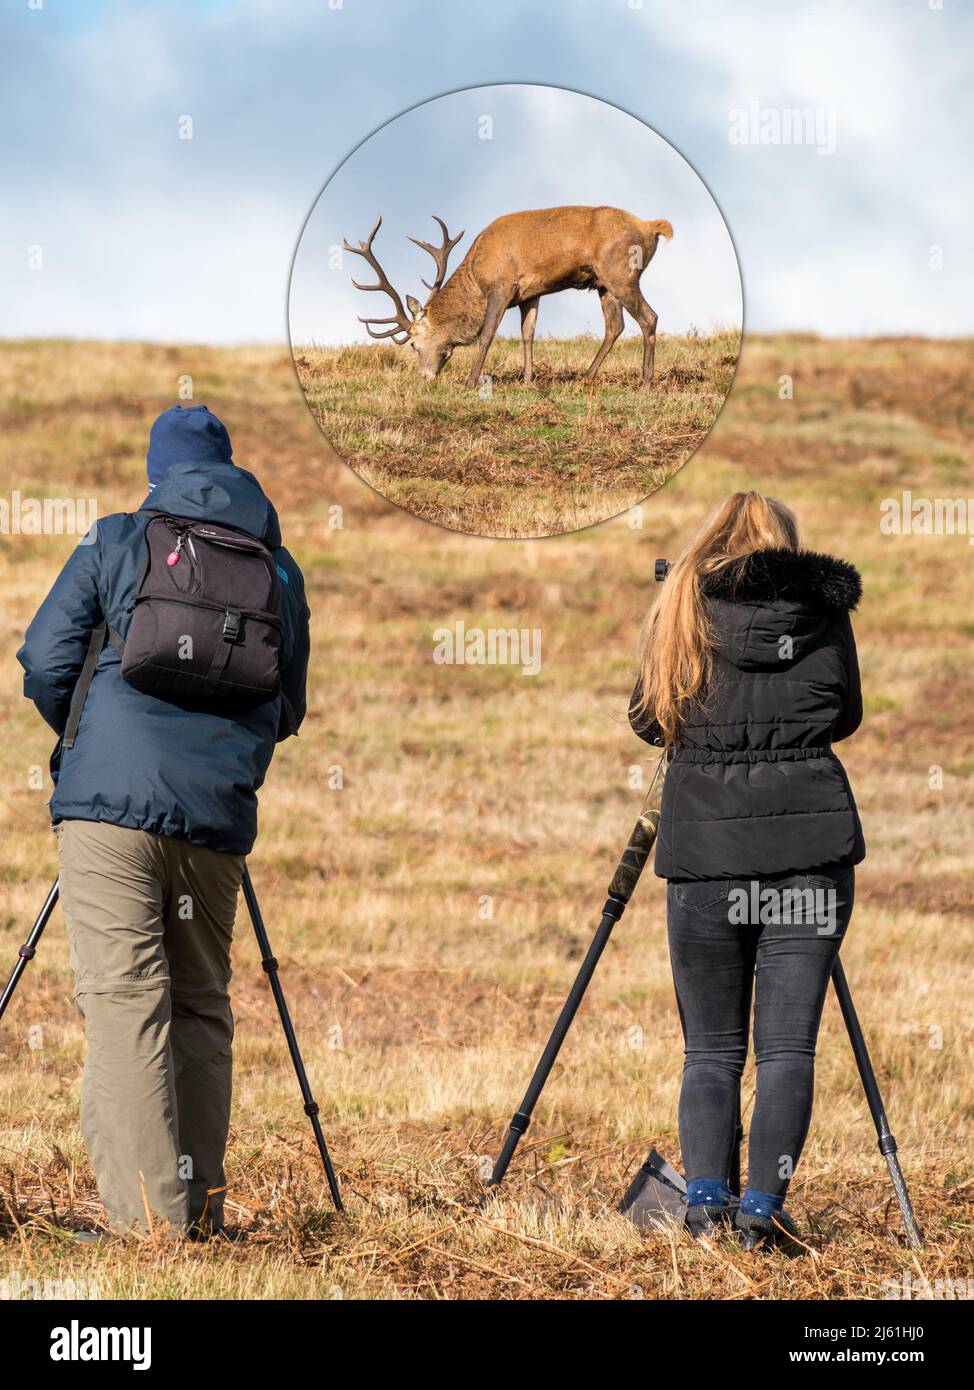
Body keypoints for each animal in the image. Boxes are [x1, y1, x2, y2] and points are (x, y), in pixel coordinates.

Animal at [345, 202, 672, 386]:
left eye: (413, 343)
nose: (425, 379)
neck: (477, 278)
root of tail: (651, 227)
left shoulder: (502, 287)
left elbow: (488, 334)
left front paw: (471, 381)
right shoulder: (530, 294)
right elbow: (528, 333)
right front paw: (528, 381)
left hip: (620, 274)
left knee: (649, 317)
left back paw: (645, 382)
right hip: (603, 284)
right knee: (615, 325)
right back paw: (585, 379)